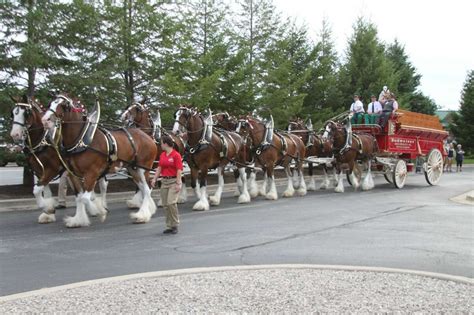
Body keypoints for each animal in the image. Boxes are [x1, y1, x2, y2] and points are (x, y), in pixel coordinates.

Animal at [41, 94, 156, 227]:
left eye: (63, 105)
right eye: (50, 104)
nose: (45, 120)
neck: (81, 140)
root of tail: (147, 136)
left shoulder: (92, 173)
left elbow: (85, 198)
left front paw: (99, 211)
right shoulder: (72, 174)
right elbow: (79, 197)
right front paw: (78, 219)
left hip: (143, 168)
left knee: (147, 189)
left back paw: (141, 215)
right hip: (132, 168)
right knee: (143, 188)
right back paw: (147, 210)